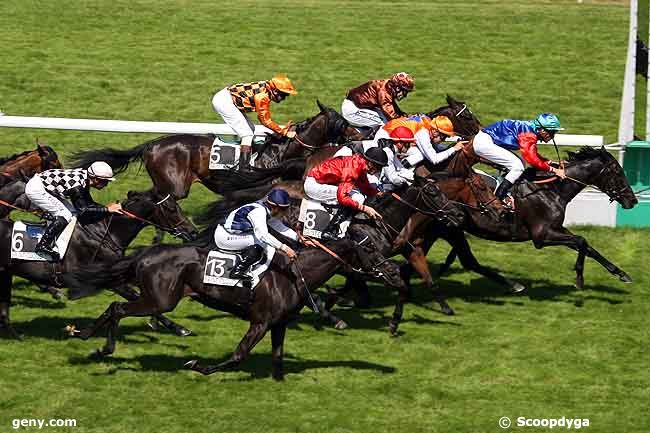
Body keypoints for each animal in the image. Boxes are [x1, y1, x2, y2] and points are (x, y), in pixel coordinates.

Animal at [0, 188, 197, 338]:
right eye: (171, 209)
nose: (193, 232)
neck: (106, 233)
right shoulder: (111, 279)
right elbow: (139, 297)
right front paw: (178, 328)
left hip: (5, 273)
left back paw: (16, 335)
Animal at [62, 235, 400, 380]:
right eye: (371, 248)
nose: (394, 272)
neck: (293, 275)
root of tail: (145, 254)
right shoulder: (260, 322)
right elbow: (238, 356)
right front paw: (197, 366)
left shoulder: (279, 324)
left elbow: (278, 358)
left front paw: (280, 384)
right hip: (161, 300)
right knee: (118, 307)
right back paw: (98, 345)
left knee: (114, 306)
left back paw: (87, 338)